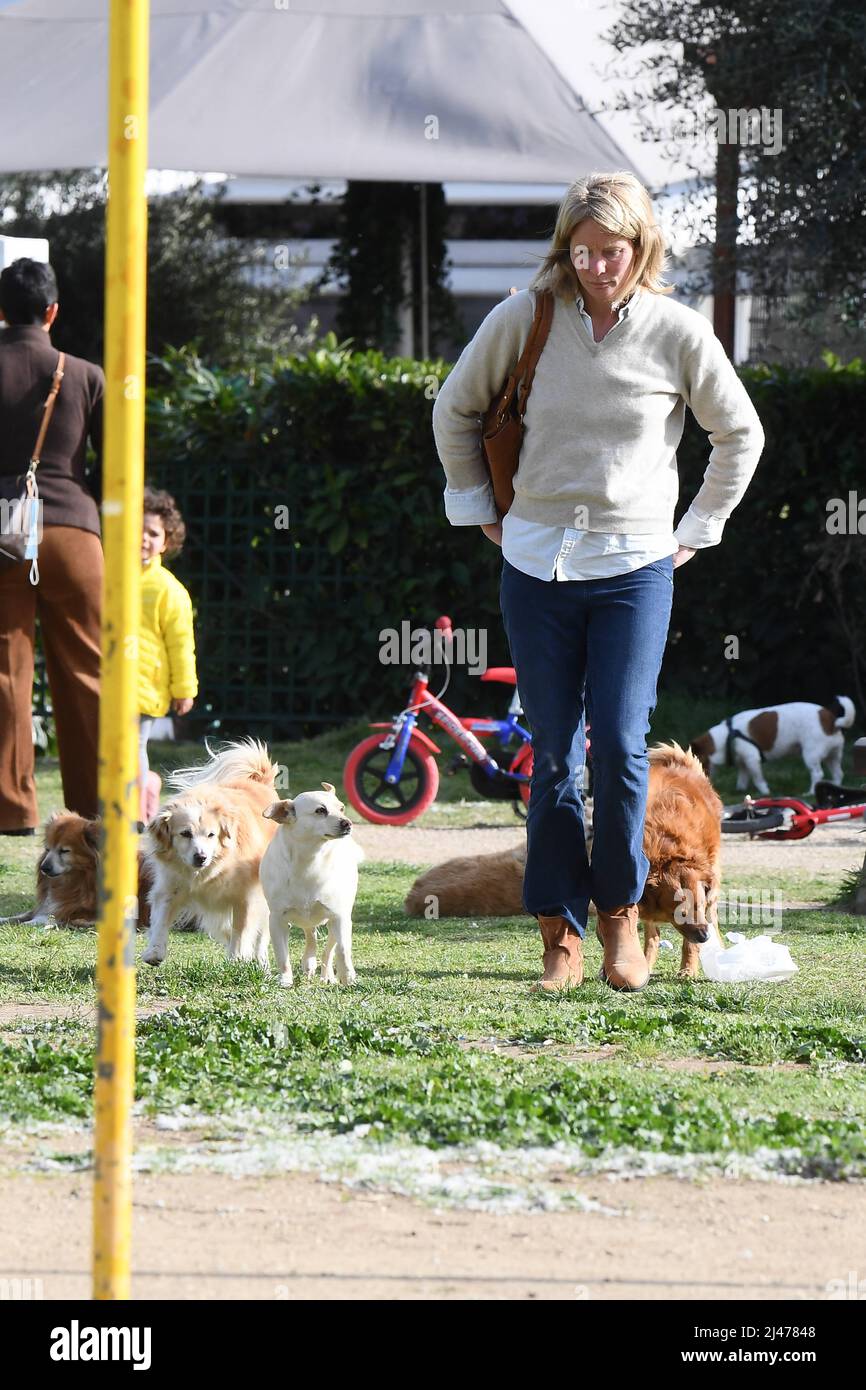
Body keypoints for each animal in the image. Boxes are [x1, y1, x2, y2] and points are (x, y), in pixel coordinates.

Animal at [140, 739, 279, 967]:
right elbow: (161, 918)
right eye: (185, 834)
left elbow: (242, 928)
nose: (201, 857)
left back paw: (260, 959)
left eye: (211, 835)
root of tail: (262, 782)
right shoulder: (170, 885)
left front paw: (237, 958)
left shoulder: (245, 895)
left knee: (263, 930)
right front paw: (155, 951)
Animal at [258, 783, 364, 989]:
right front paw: (285, 979)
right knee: (311, 935)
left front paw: (348, 978)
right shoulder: (277, 919)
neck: (309, 859)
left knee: (328, 950)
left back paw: (326, 975)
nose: (347, 823)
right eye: (320, 810)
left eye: (341, 808)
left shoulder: (339, 917)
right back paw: (309, 962)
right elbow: (282, 955)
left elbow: (342, 950)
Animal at [405, 745, 722, 984]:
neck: (665, 853)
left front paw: (688, 968)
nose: (706, 935)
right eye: (679, 912)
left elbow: (684, 940)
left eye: (697, 907)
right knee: (650, 935)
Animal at [692, 695, 856, 795]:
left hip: (811, 755)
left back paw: (810, 792)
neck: (728, 735)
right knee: (838, 773)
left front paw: (765, 792)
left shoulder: (752, 760)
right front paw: (740, 790)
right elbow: (743, 777)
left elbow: (758, 779)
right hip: (833, 756)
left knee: (817, 773)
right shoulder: (743, 763)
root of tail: (832, 721)